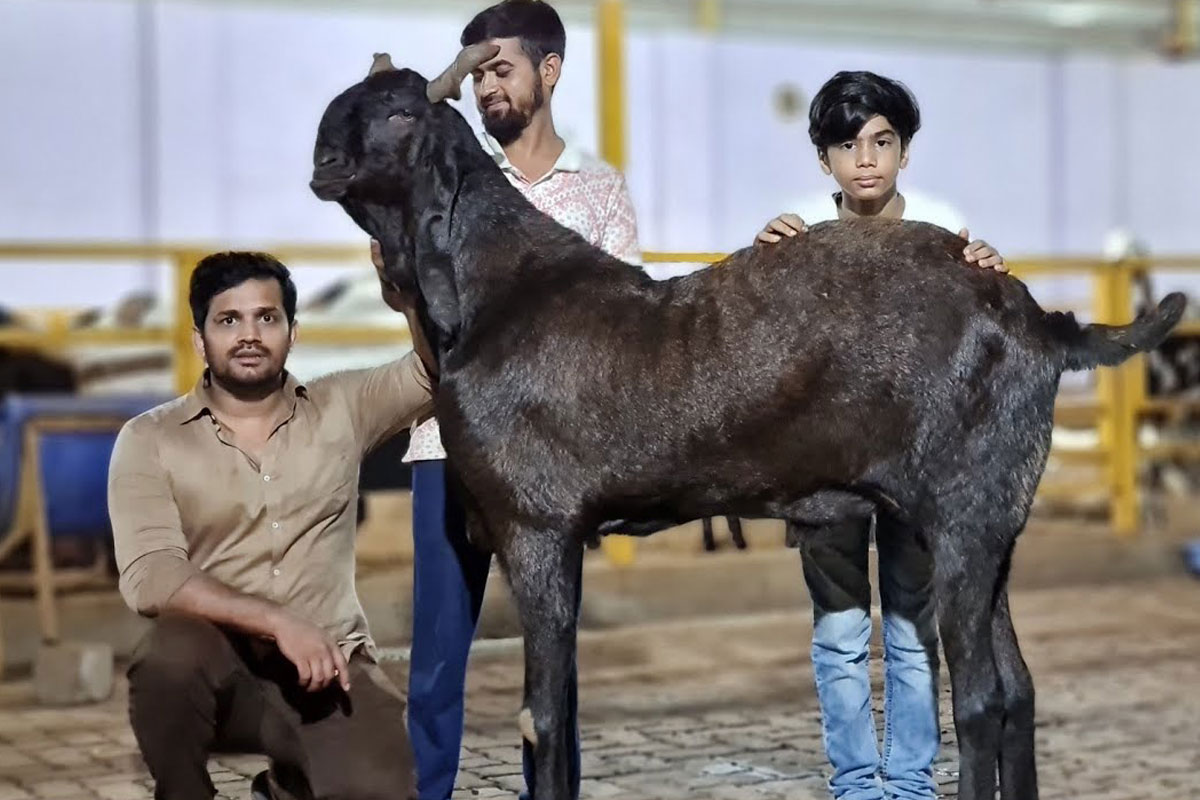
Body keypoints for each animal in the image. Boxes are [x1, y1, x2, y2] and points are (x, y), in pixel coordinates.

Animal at [309, 47, 1190, 796]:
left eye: (398, 115)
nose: (321, 157)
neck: (496, 293)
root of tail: (1044, 323)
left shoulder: (537, 525)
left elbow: (543, 719)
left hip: (965, 515)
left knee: (977, 699)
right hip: (995, 523)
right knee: (1018, 691)